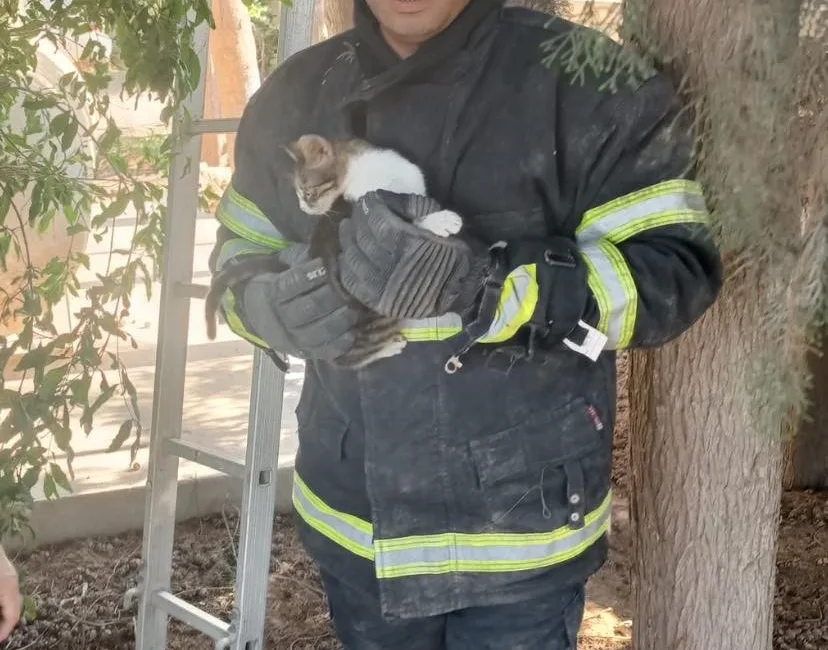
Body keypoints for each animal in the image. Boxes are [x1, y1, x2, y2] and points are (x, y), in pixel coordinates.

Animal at [205, 134, 466, 368]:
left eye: (308, 192)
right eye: (300, 195)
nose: (304, 208)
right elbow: (406, 223)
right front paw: (440, 220)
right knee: (346, 358)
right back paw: (388, 348)